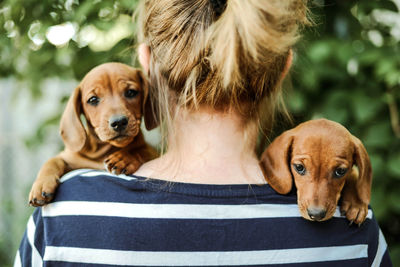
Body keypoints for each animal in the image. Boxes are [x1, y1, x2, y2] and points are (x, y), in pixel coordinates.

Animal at [28, 62, 157, 207]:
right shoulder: (70, 158)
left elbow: (140, 150)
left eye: (131, 92)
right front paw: (40, 185)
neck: (102, 151)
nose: (119, 122)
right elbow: (52, 161)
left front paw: (124, 158)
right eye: (93, 99)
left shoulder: (153, 152)